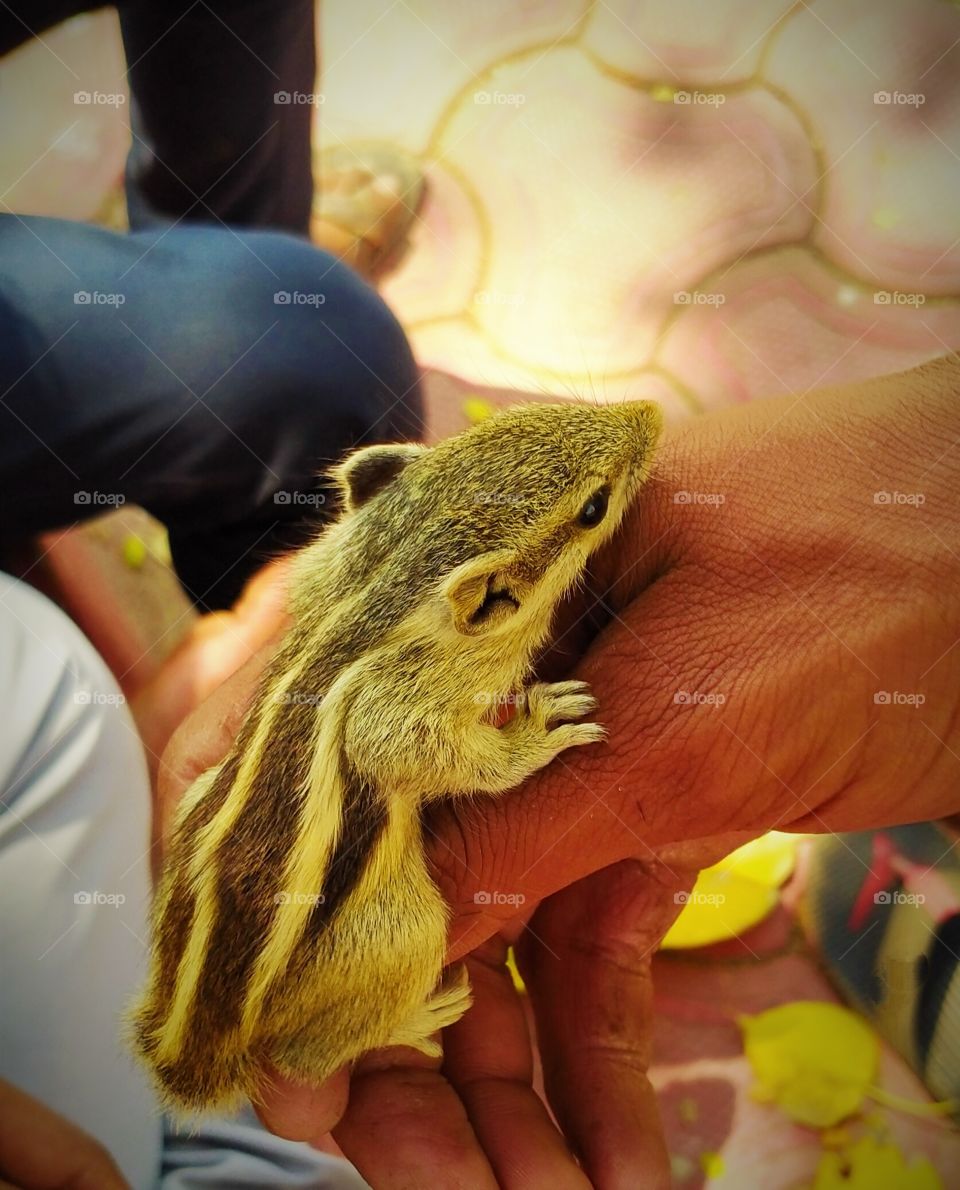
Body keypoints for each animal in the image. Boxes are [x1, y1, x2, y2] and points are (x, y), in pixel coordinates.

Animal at [129, 398, 663, 1115]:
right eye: (594, 507)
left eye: (524, 415)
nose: (652, 412)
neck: (388, 583)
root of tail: (197, 1041)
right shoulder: (396, 701)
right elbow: (418, 746)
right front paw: (534, 731)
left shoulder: (323, 570)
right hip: (404, 933)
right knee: (301, 1059)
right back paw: (415, 1020)